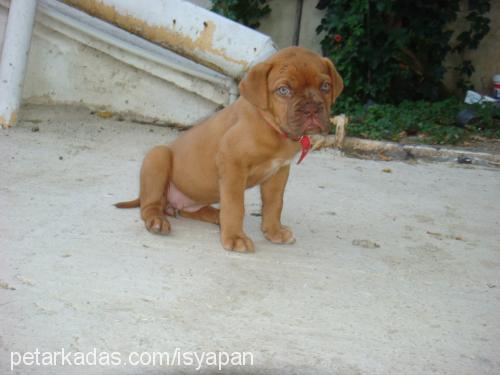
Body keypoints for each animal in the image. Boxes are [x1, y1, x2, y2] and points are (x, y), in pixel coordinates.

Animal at [116, 47, 344, 253]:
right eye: (283, 90)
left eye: (325, 86)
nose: (311, 109)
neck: (272, 127)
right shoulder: (233, 165)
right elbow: (235, 206)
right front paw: (235, 238)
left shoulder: (278, 173)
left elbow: (274, 204)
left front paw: (274, 232)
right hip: (158, 157)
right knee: (149, 205)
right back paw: (157, 220)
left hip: (196, 197)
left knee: (191, 210)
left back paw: (215, 216)